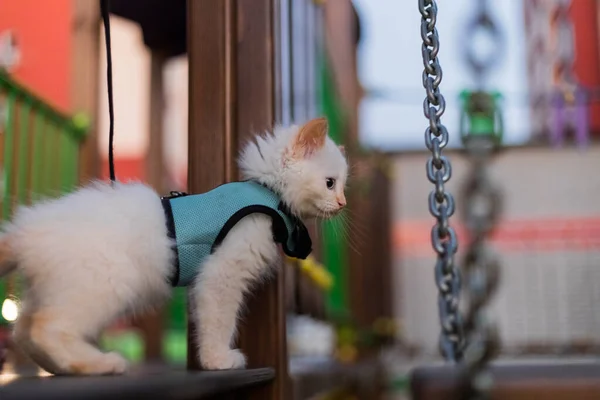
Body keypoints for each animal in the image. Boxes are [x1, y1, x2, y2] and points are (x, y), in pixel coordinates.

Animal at [0, 116, 346, 376]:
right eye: (330, 183)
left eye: (344, 186)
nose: (343, 203)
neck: (267, 193)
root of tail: (25, 230)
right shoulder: (222, 275)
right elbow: (219, 322)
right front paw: (218, 361)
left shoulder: (204, 281)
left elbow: (205, 320)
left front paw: (211, 359)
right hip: (105, 283)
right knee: (46, 329)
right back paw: (100, 364)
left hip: (51, 290)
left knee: (24, 331)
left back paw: (64, 367)